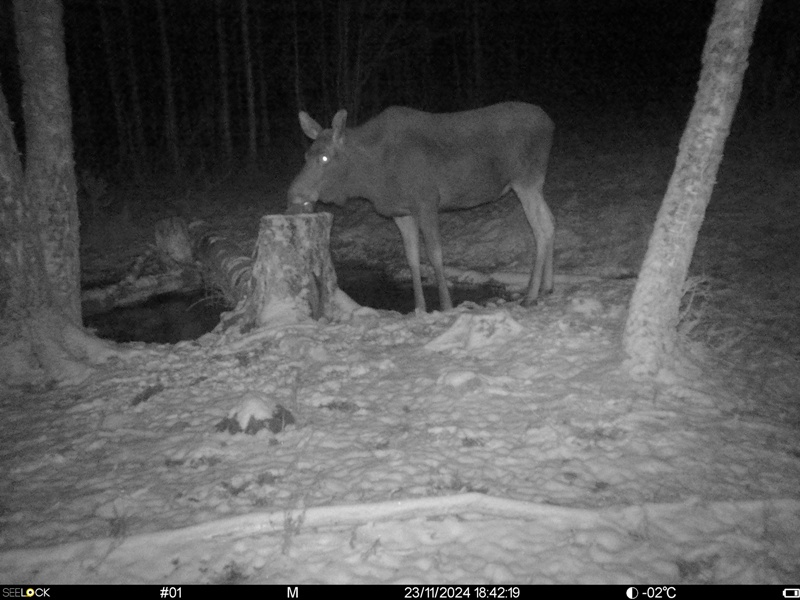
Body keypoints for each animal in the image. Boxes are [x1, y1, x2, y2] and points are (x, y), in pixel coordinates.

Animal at [287, 102, 555, 313]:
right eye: (306, 155)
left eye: (324, 158)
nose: (293, 194)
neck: (372, 177)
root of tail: (550, 123)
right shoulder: (402, 212)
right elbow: (412, 258)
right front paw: (419, 308)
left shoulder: (426, 202)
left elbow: (436, 255)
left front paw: (446, 305)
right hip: (534, 183)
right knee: (551, 222)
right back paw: (547, 287)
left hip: (525, 179)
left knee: (540, 229)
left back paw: (531, 295)